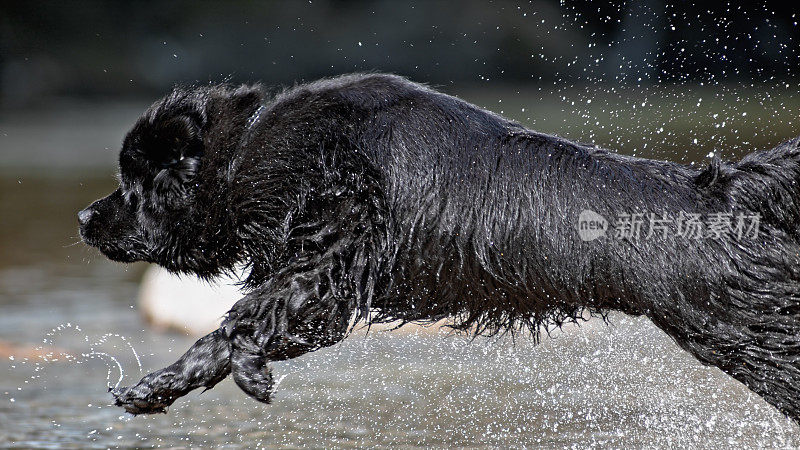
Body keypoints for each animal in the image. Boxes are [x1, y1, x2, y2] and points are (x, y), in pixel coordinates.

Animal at [79, 74, 800, 422]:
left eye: (133, 181)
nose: (85, 216)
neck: (249, 156)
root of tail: (724, 191)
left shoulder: (331, 261)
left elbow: (239, 325)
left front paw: (240, 373)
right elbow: (233, 332)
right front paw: (152, 392)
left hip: (749, 331)